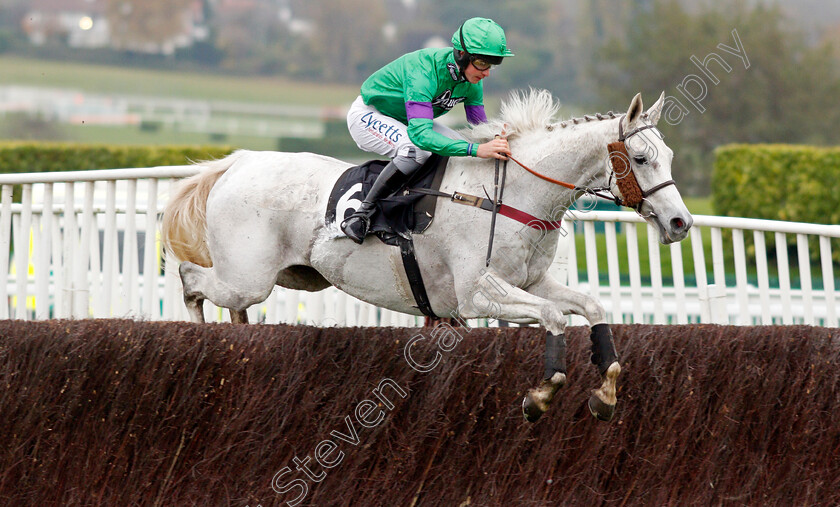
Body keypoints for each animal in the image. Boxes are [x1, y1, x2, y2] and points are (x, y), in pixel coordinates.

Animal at [161, 89, 692, 422]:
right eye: (640, 159)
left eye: (668, 156)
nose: (680, 223)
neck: (511, 194)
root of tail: (240, 161)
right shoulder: (476, 295)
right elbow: (553, 317)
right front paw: (541, 396)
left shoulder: (530, 282)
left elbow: (591, 307)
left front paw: (605, 392)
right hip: (248, 277)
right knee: (191, 280)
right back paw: (201, 337)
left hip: (292, 276)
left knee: (226, 300)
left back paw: (238, 336)